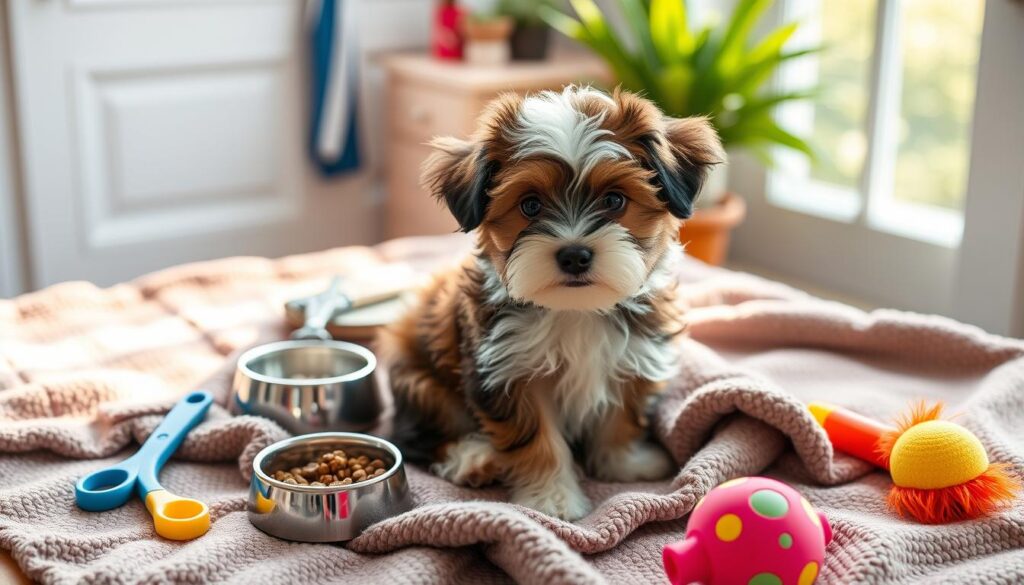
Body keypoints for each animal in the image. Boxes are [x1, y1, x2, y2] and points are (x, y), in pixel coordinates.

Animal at [380, 86, 724, 516]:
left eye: (614, 200)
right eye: (530, 205)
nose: (574, 255)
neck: (575, 310)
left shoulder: (633, 357)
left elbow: (622, 416)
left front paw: (624, 463)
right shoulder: (507, 370)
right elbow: (536, 438)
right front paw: (552, 499)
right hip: (422, 383)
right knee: (419, 436)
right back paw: (473, 458)